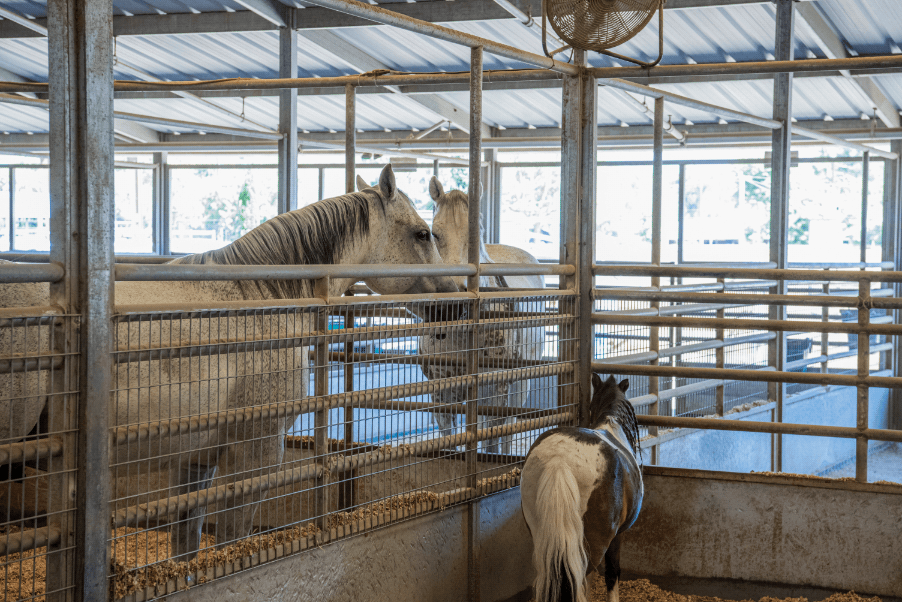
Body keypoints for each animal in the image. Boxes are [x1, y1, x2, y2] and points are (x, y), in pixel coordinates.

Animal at [0, 164, 457, 559]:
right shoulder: (254, 451)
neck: (261, 300)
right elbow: (232, 537)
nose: (453, 302)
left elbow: (186, 542)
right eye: (423, 234)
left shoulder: (195, 458)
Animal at [410, 176, 545, 454]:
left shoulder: (493, 390)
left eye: (477, 234)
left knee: (506, 428)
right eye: (434, 233)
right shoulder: (441, 393)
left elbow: (490, 440)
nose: (457, 295)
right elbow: (450, 441)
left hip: (519, 383)